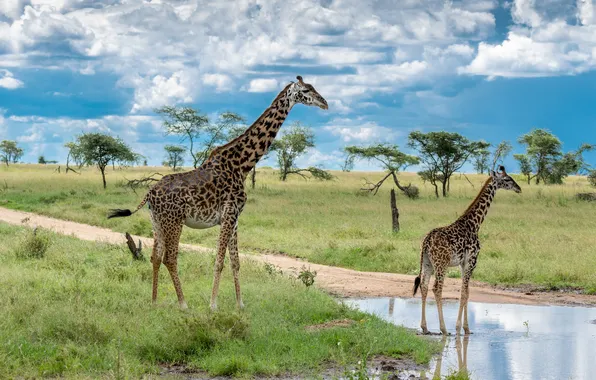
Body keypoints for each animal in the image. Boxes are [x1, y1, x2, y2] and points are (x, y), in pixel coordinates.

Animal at [109, 75, 328, 310]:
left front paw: (240, 305)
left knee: (155, 257)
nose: (325, 103)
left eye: (313, 87)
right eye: (306, 90)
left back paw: (154, 302)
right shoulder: (229, 214)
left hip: (157, 222)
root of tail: (149, 194)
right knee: (170, 258)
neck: (242, 165)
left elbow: (236, 262)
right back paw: (183, 304)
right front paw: (213, 305)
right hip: (174, 221)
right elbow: (219, 262)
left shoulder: (235, 219)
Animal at [412, 166, 520, 336]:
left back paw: (425, 327)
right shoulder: (472, 261)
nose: (519, 188)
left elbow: (467, 292)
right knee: (437, 288)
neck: (475, 224)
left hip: (427, 263)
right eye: (507, 179)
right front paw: (460, 328)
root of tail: (426, 241)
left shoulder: (463, 263)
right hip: (441, 264)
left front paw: (466, 328)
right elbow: (464, 293)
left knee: (424, 286)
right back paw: (444, 329)